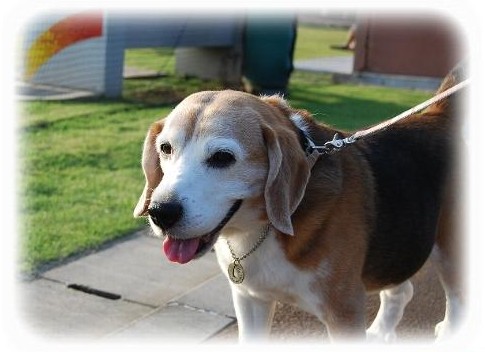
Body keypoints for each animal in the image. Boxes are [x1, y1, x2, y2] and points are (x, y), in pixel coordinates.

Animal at [134, 70, 464, 342]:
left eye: (222, 157)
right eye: (166, 149)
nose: (160, 213)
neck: (260, 231)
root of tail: (439, 116)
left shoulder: (344, 312)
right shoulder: (249, 299)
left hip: (450, 253)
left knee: (457, 304)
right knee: (402, 290)